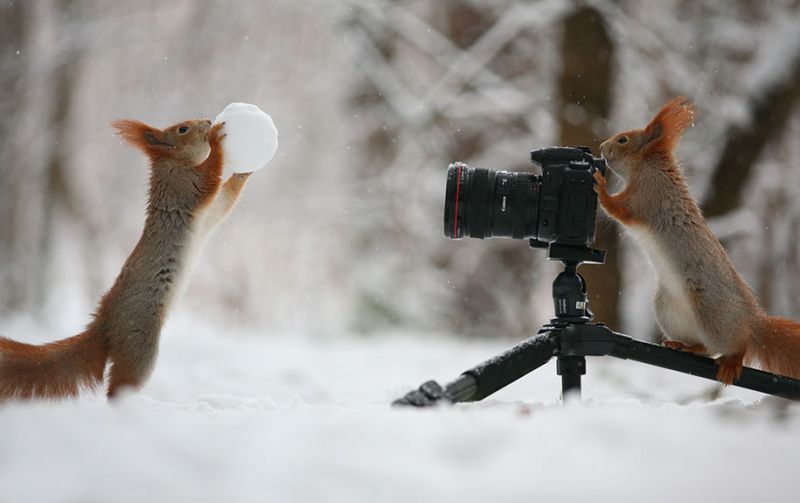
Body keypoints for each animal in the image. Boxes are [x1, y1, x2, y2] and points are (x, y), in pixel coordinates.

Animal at [0, 118, 250, 402]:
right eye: (182, 129)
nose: (207, 121)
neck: (173, 162)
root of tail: (104, 325)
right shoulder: (184, 186)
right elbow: (209, 177)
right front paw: (217, 140)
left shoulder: (207, 216)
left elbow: (224, 201)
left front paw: (243, 173)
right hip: (138, 342)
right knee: (120, 386)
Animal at [592, 96, 800, 384]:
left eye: (623, 140)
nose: (602, 147)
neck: (647, 167)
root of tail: (752, 320)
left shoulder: (646, 197)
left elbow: (618, 209)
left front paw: (600, 185)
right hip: (667, 309)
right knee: (704, 348)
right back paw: (684, 345)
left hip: (712, 313)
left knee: (733, 345)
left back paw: (732, 360)